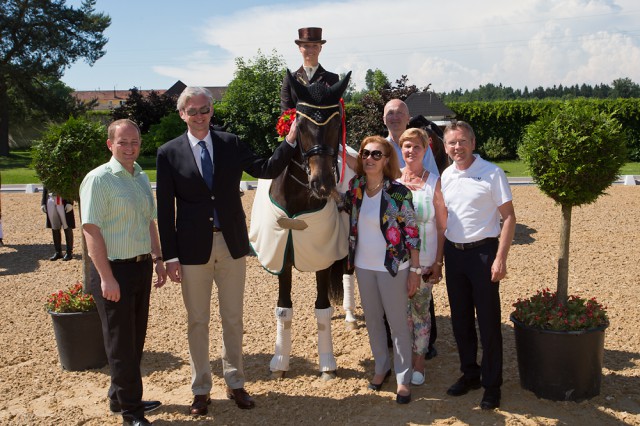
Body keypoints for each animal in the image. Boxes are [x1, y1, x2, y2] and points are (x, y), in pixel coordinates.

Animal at [249, 70, 350, 380]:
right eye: (300, 125)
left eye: (336, 124)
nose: (323, 184)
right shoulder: (281, 255)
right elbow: (284, 309)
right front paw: (280, 364)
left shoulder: (322, 257)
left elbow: (322, 308)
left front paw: (327, 365)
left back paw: (352, 316)